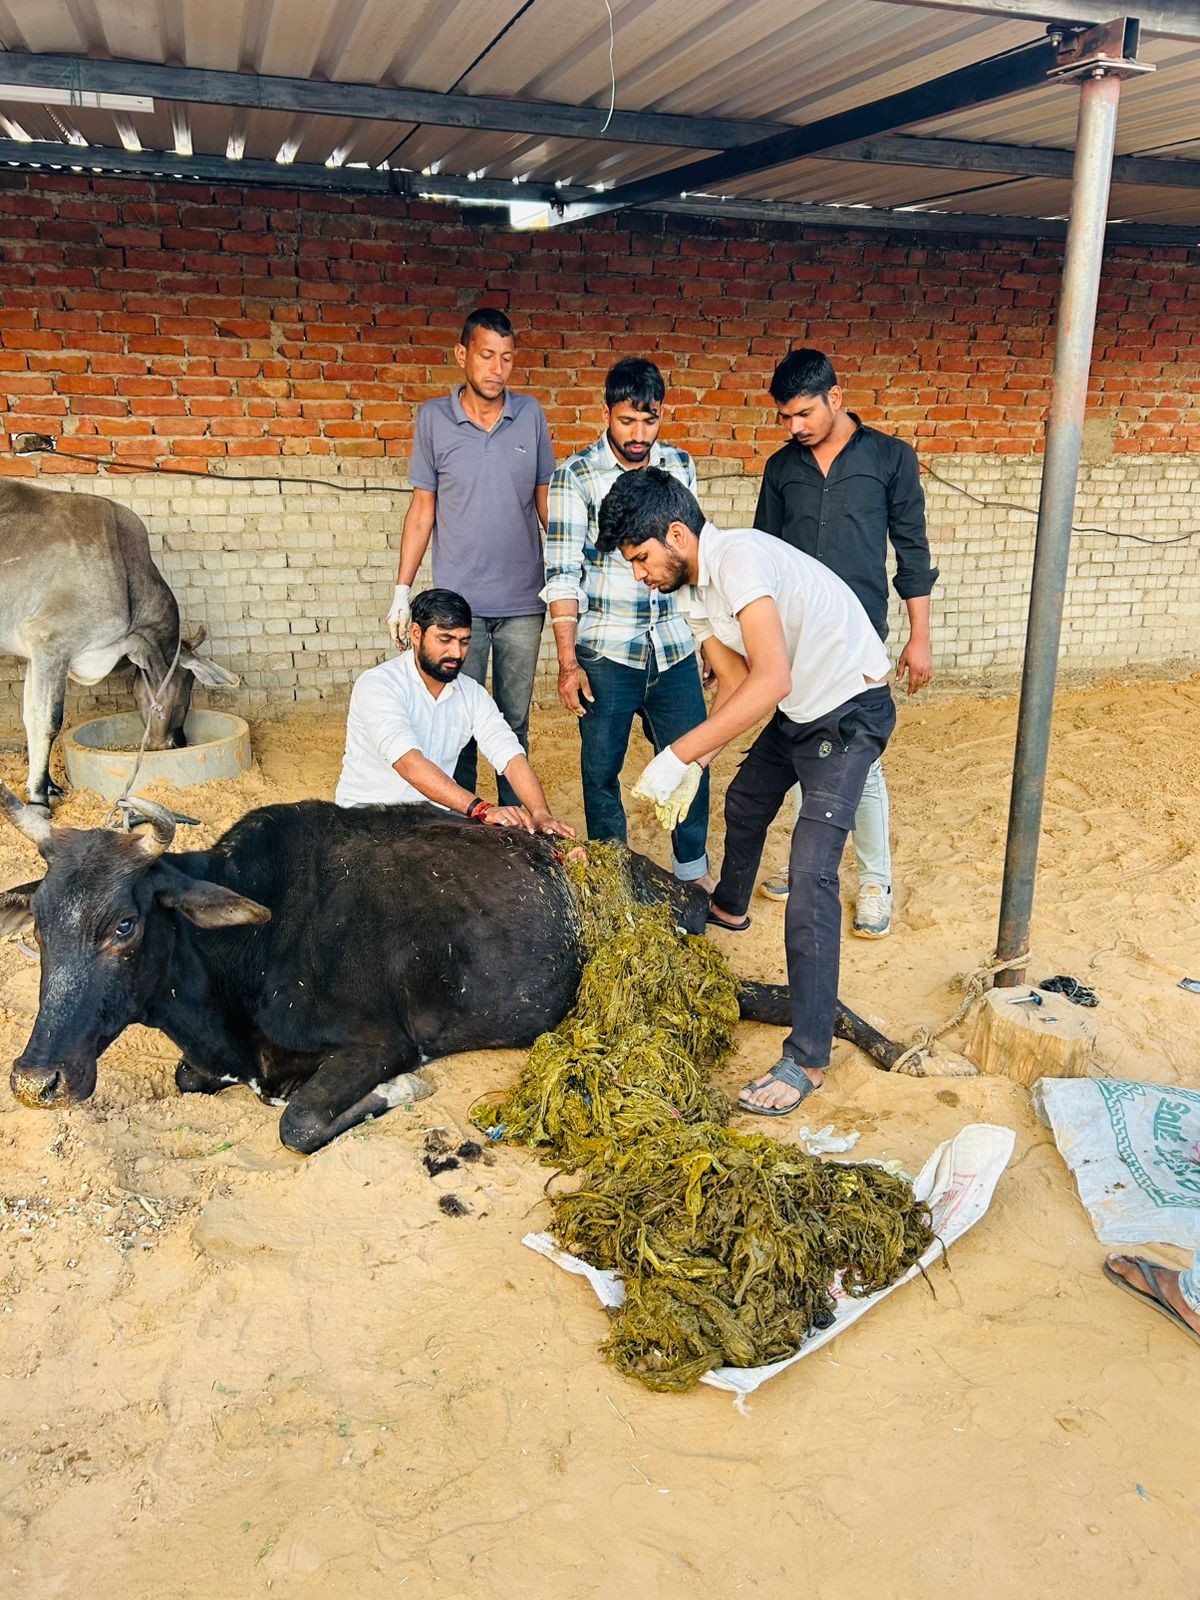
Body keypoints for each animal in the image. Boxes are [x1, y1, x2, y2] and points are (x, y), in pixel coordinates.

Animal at [0, 793, 902, 1158]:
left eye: (123, 926)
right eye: (37, 925)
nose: (36, 1080)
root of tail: (664, 883)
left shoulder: (376, 1040)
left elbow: (298, 1123)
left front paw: (401, 1095)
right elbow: (197, 1082)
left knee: (786, 997)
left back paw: (900, 1050)